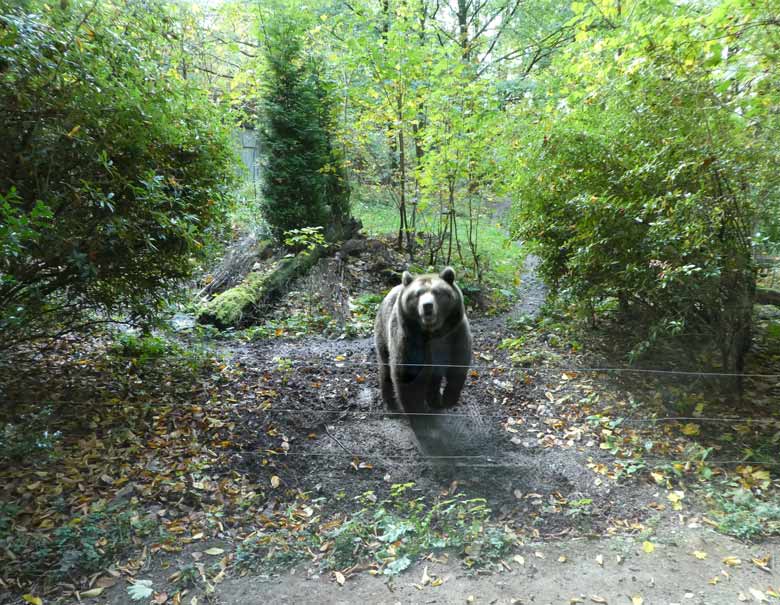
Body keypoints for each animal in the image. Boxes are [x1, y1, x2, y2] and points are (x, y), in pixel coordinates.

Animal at [374, 268, 472, 416]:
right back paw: (391, 403)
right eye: (417, 294)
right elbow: (407, 376)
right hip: (383, 332)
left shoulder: (455, 335)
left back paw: (435, 400)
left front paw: (448, 399)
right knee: (385, 368)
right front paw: (419, 413)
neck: (433, 332)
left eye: (437, 292)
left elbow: (458, 366)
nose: (427, 306)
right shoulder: (410, 340)